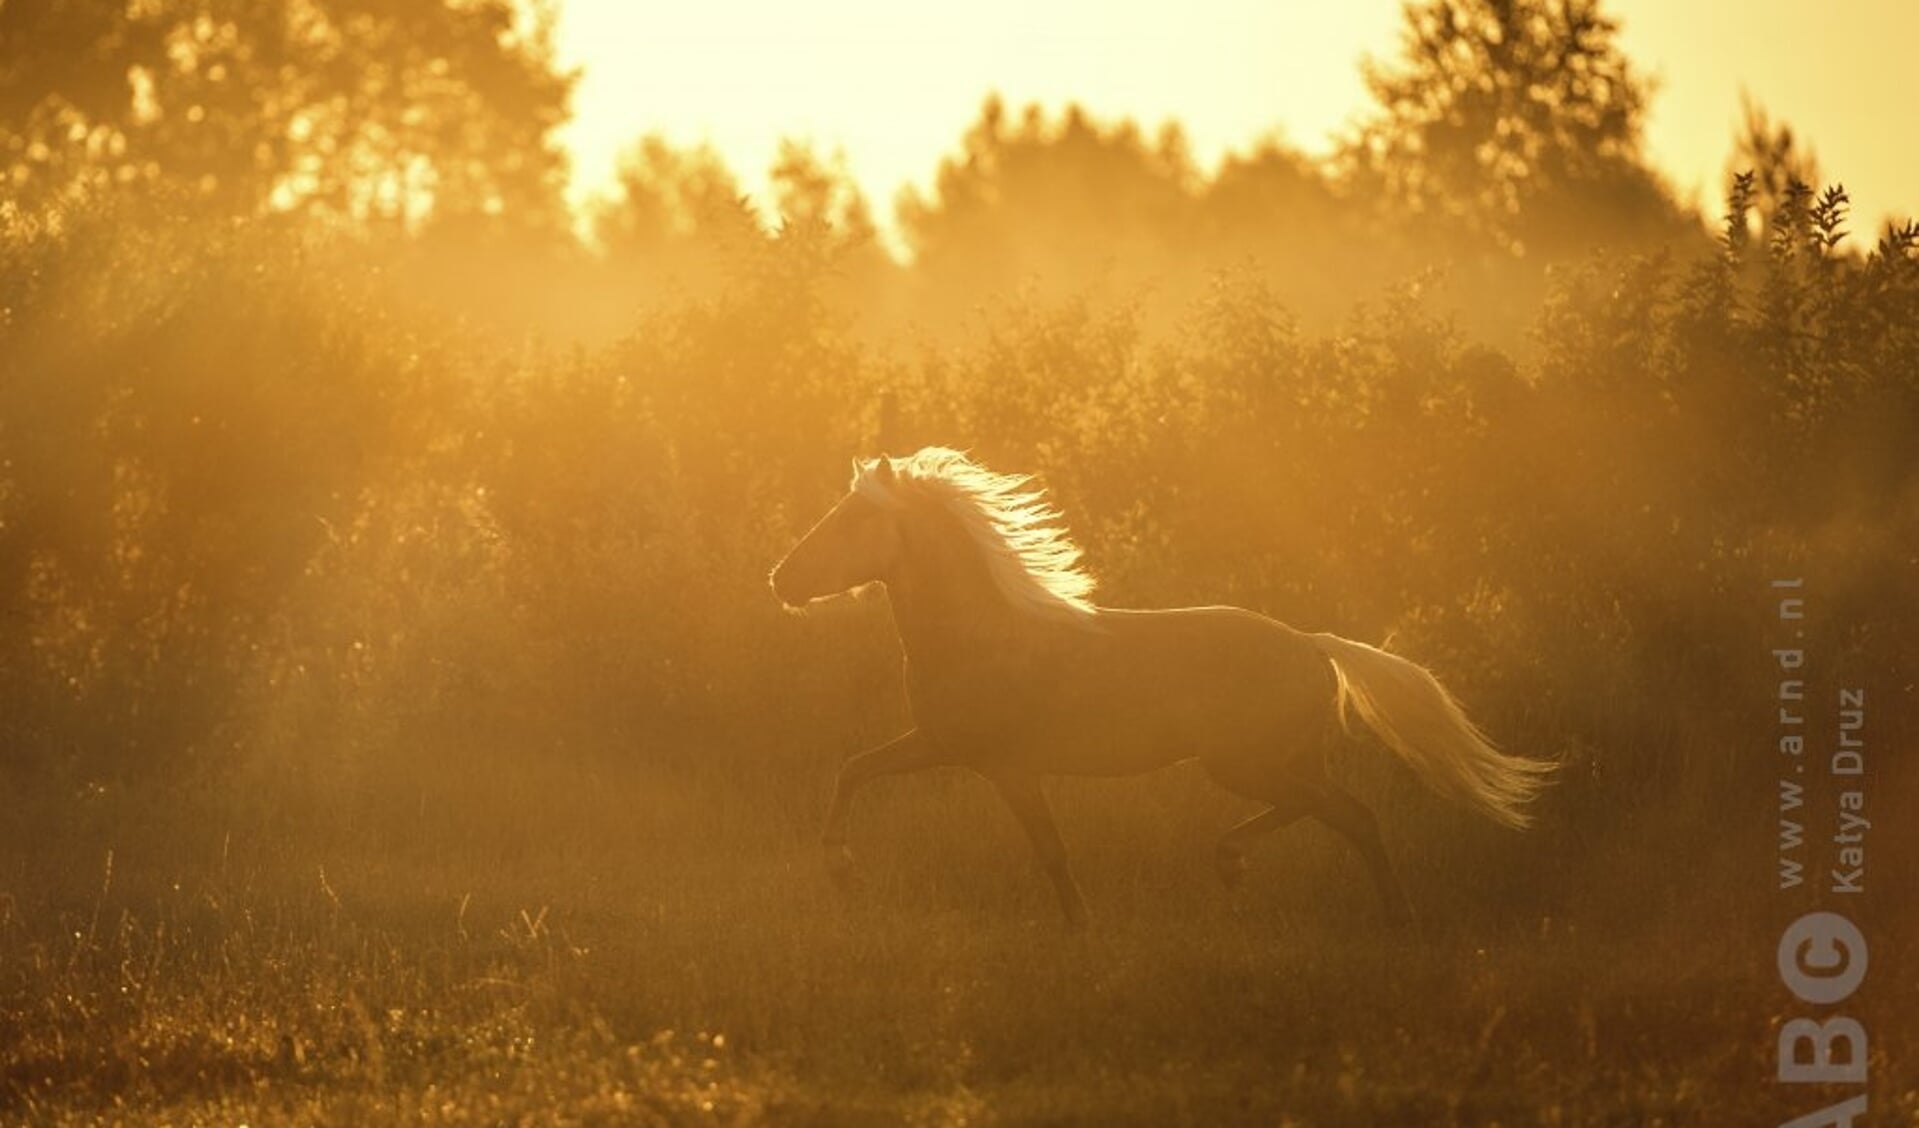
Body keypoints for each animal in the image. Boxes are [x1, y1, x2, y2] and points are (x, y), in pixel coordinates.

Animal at [767, 445, 1558, 928]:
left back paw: (1390, 915)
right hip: (1271, 763)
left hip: (1244, 764)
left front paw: (1079, 926)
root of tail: (1313, 645)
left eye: (854, 518)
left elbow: (1050, 849)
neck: (981, 638)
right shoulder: (939, 743)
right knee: (1324, 808)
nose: (781, 580)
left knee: (1351, 815)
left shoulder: (1001, 764)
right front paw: (841, 872)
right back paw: (1233, 863)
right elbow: (853, 768)